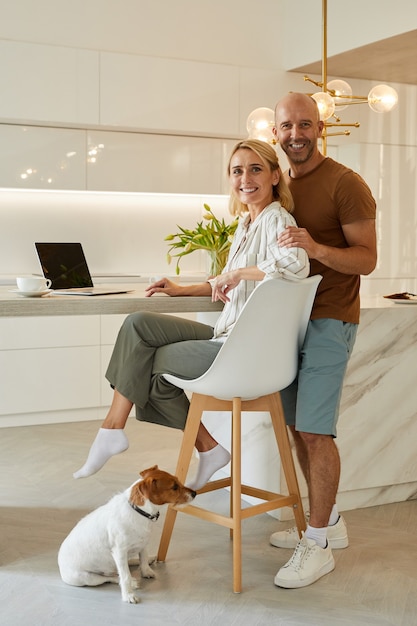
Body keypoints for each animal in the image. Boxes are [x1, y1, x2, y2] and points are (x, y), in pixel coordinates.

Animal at [57, 464, 196, 600]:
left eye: (178, 481)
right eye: (174, 487)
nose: (195, 493)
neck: (138, 511)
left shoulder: (143, 543)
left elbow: (143, 558)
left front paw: (146, 571)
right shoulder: (119, 551)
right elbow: (125, 577)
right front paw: (128, 594)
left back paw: (142, 561)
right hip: (87, 578)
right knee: (111, 577)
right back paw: (132, 582)